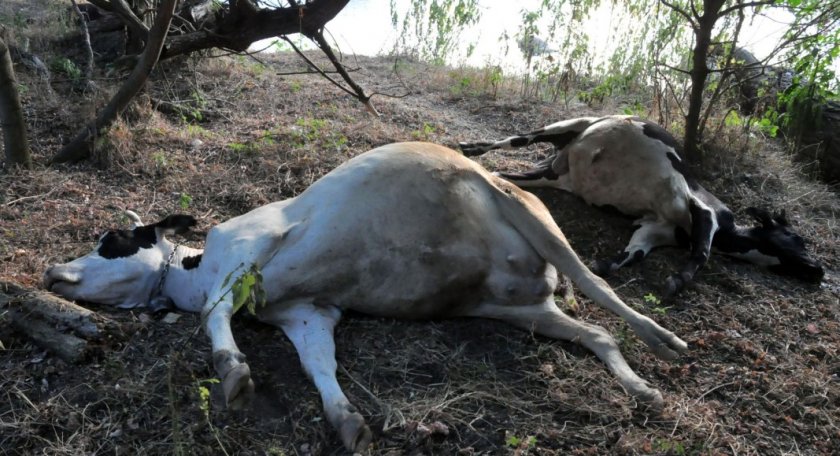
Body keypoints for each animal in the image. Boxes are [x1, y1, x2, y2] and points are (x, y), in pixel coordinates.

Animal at [42, 142, 684, 452]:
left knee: (602, 289)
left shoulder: (253, 249)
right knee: (595, 332)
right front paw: (345, 418)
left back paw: (666, 342)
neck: (196, 266)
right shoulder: (307, 314)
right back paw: (642, 390)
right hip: (516, 308)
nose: (49, 270)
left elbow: (213, 314)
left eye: (111, 240)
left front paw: (233, 370)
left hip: (529, 213)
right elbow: (319, 365)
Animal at [460, 115, 820, 296]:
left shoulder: (654, 228)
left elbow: (632, 254)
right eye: (797, 238)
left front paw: (602, 265)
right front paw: (678, 281)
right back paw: (471, 146)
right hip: (565, 125)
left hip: (550, 176)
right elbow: (702, 254)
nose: (819, 269)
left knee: (503, 175)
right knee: (517, 139)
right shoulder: (703, 209)